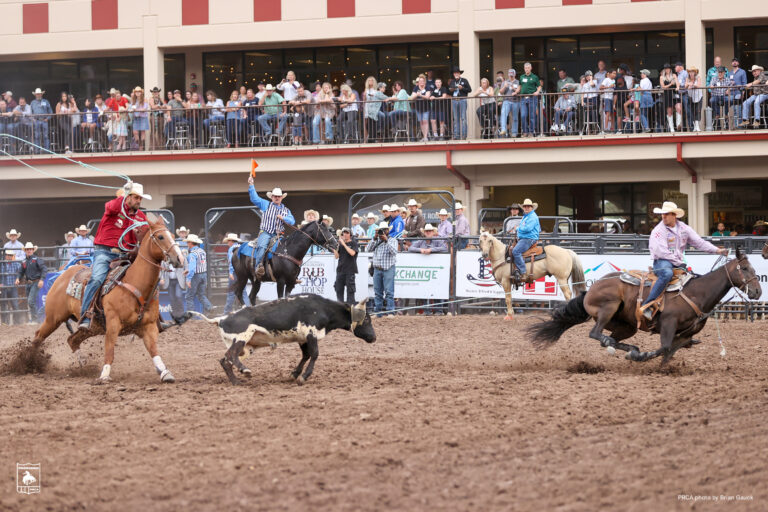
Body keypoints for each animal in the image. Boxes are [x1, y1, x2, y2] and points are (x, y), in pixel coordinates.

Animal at [32, 217, 185, 384]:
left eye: (172, 235)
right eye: (160, 237)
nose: (180, 258)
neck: (135, 282)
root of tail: (62, 275)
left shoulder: (149, 326)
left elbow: (154, 350)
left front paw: (165, 373)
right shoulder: (113, 323)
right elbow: (110, 350)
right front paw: (104, 375)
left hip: (92, 327)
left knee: (72, 340)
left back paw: (83, 364)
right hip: (53, 318)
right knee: (38, 337)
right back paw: (29, 362)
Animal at [528, 248, 760, 364]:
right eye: (744, 268)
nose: (758, 291)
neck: (697, 292)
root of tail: (591, 289)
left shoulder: (685, 334)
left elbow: (670, 352)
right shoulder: (668, 325)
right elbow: (664, 347)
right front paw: (640, 358)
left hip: (627, 326)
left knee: (610, 338)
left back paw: (624, 347)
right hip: (608, 307)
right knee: (595, 333)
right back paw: (627, 349)